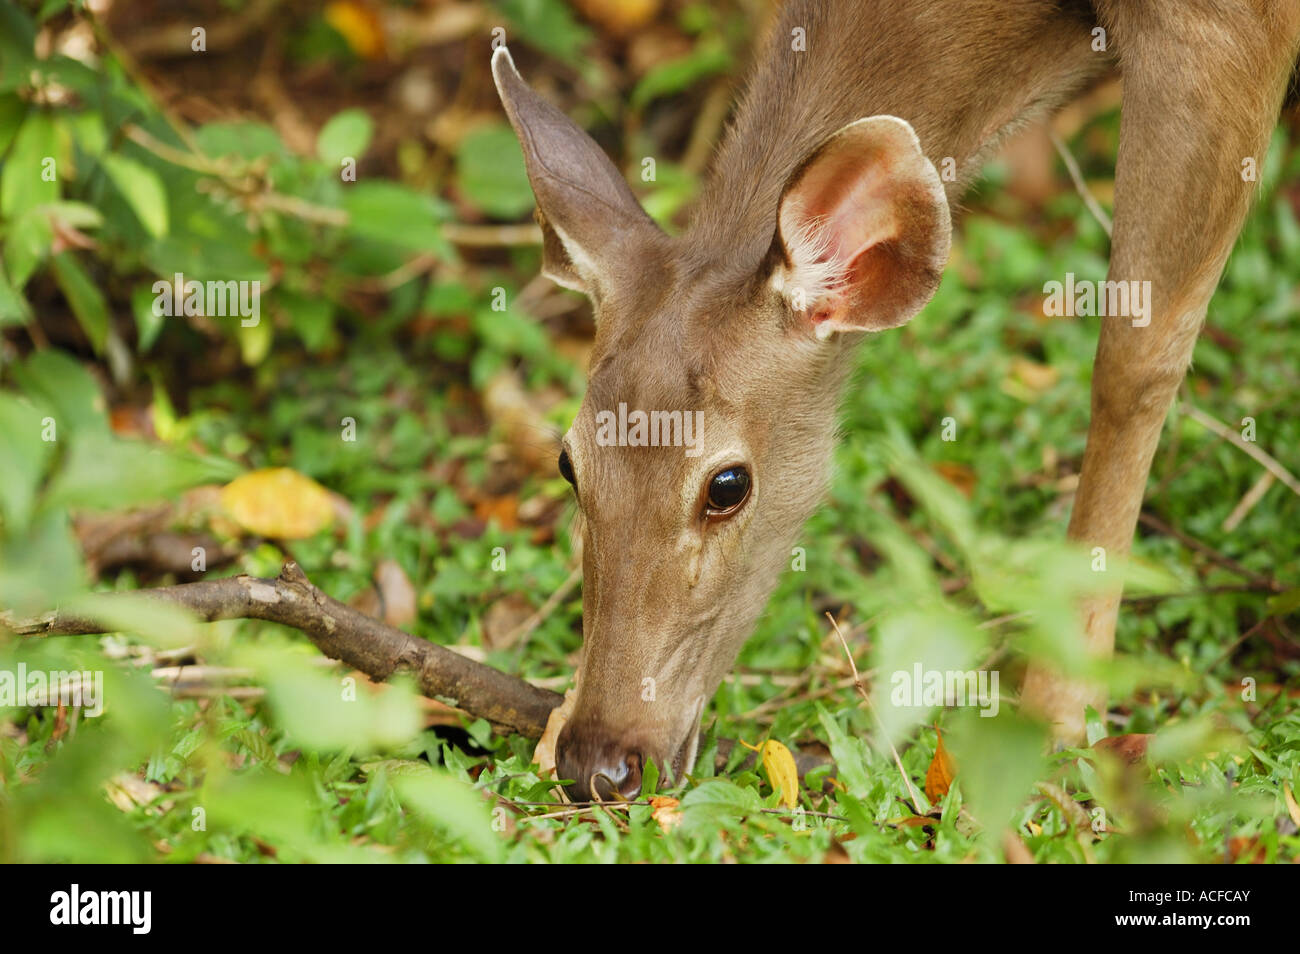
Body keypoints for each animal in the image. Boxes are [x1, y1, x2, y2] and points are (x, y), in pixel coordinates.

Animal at [491, 0, 1300, 805]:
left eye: (727, 484)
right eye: (567, 464)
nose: (598, 763)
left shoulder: (1221, 27)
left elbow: (1135, 360)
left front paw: (1061, 717)